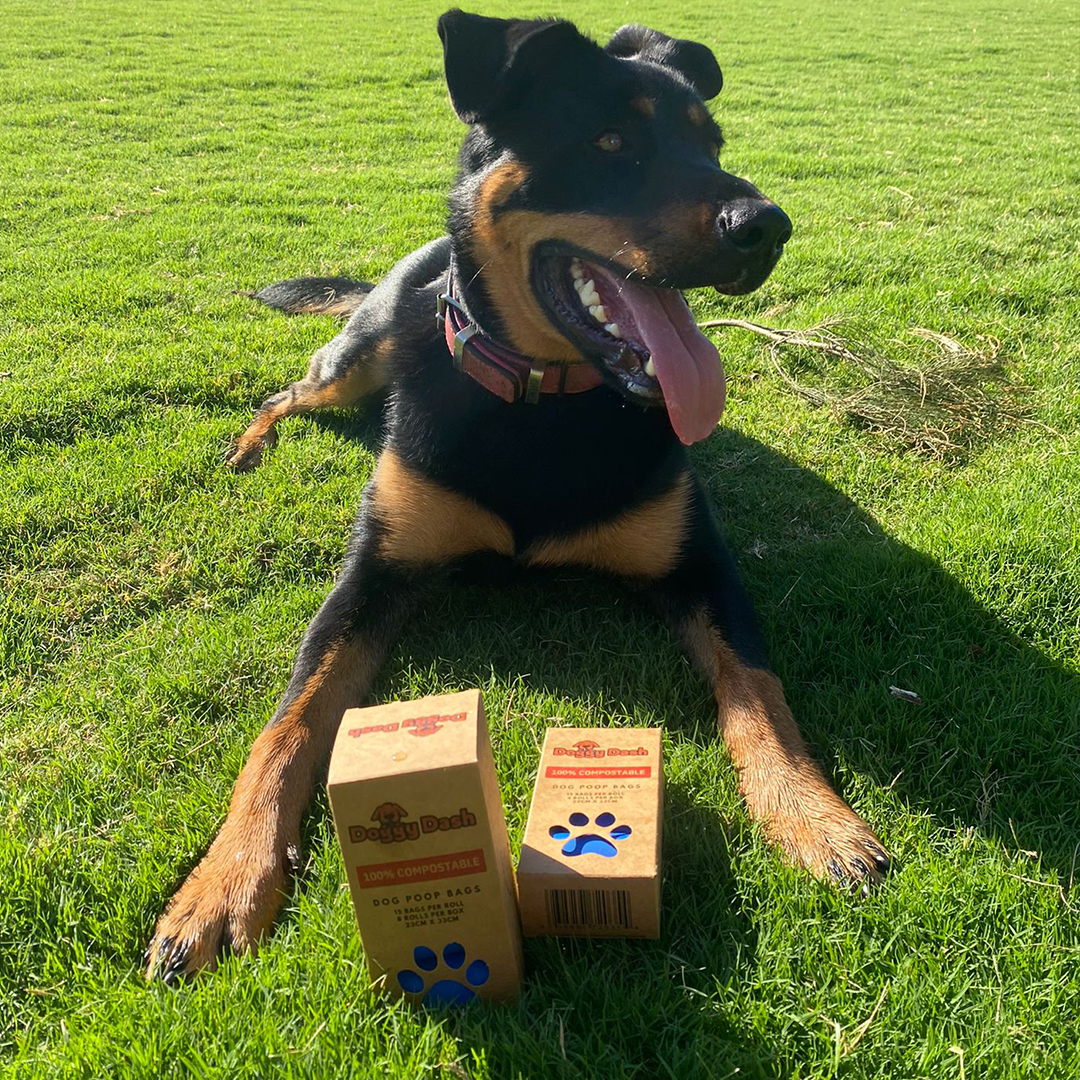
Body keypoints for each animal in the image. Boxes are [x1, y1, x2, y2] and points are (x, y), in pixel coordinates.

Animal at [146, 9, 889, 982]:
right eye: (610, 141)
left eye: (713, 143)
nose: (765, 223)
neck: (547, 404)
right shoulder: (369, 577)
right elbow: (285, 728)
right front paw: (222, 882)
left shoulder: (702, 566)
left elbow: (760, 693)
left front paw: (814, 816)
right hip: (358, 363)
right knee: (287, 391)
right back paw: (249, 445)